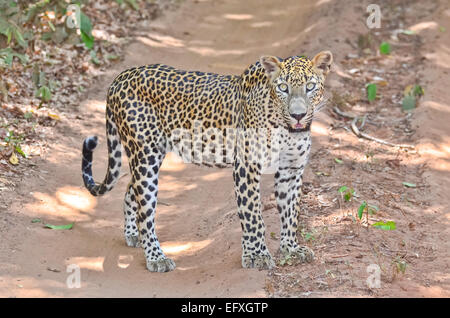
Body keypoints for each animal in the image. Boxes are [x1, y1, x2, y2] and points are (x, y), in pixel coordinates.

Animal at [81, 51, 334, 272]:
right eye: (283, 88)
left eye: (310, 86)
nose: (298, 115)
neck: (287, 128)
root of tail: (121, 76)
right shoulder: (246, 166)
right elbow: (253, 215)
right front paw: (257, 256)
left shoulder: (291, 169)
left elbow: (291, 213)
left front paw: (291, 249)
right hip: (145, 155)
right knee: (146, 211)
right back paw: (156, 257)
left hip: (148, 156)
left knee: (129, 190)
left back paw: (133, 234)